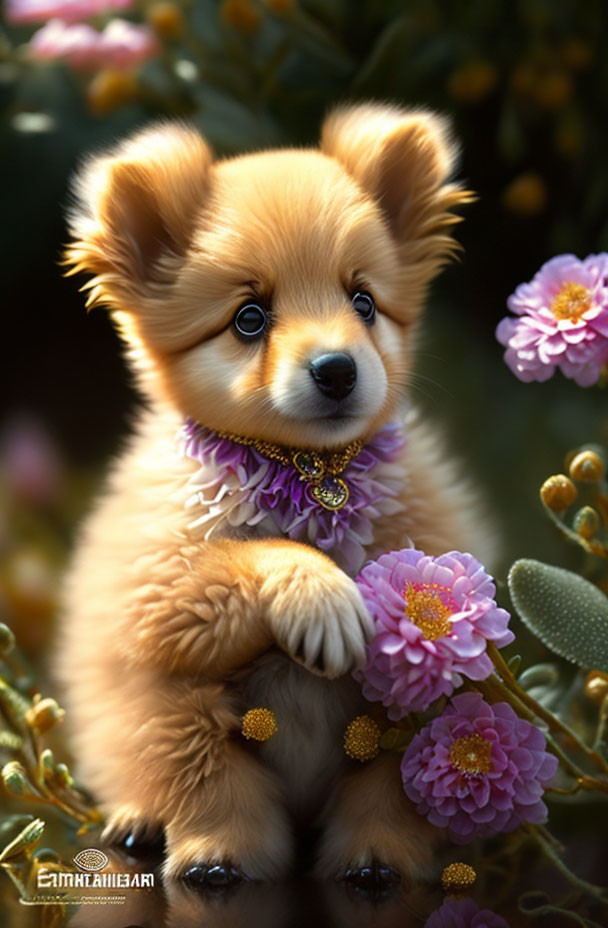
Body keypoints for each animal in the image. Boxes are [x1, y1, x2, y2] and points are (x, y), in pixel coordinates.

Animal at [55, 103, 494, 892]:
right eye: (249, 318)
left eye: (363, 302)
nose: (337, 369)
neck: (308, 478)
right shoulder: (155, 592)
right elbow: (241, 567)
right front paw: (316, 594)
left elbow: (396, 788)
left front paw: (382, 858)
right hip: (159, 703)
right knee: (191, 769)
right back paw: (170, 833)